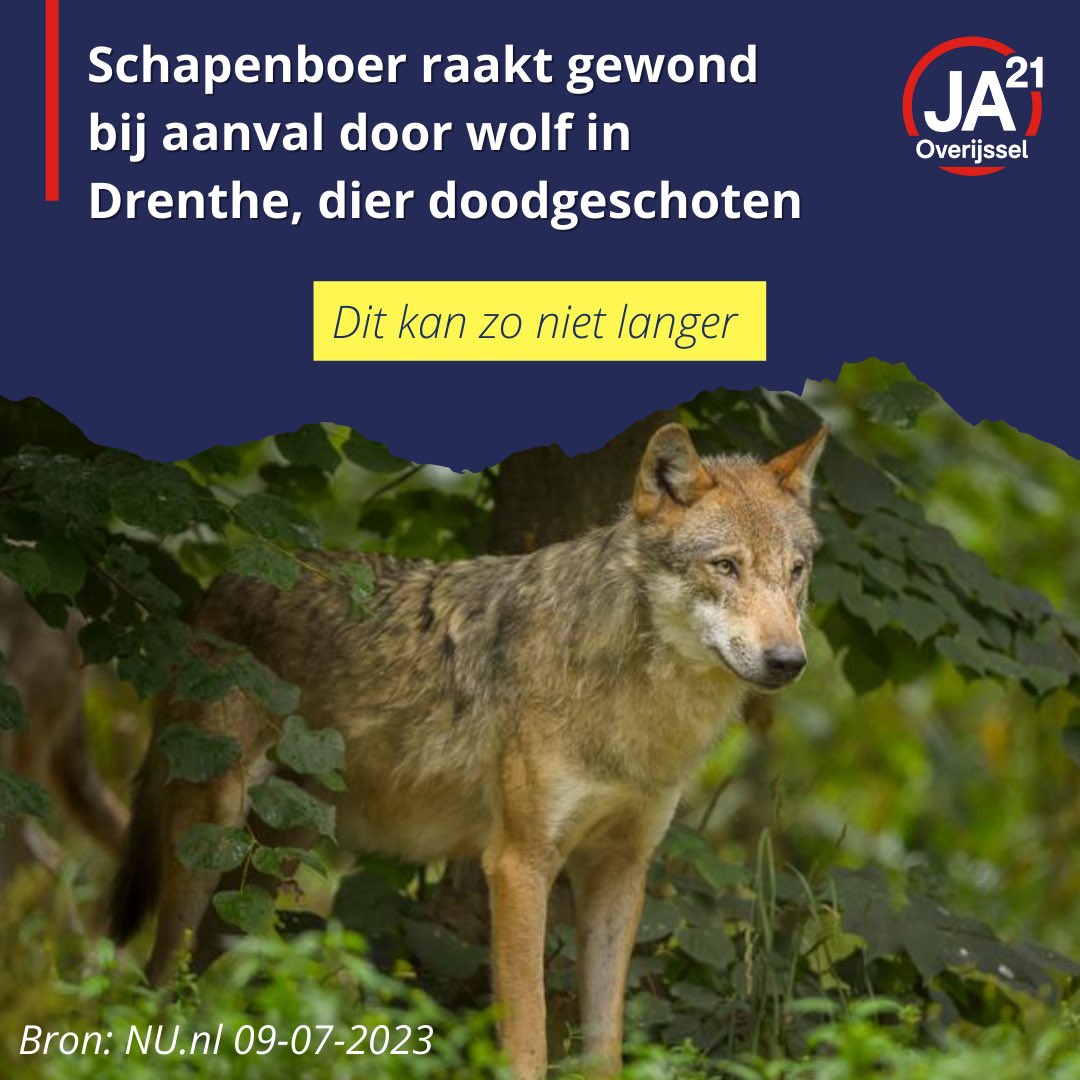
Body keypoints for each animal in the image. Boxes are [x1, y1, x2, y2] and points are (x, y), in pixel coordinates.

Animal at [111, 422, 827, 1078]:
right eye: (725, 566)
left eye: (795, 572)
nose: (789, 662)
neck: (634, 702)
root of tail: (226, 580)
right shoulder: (518, 864)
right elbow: (530, 1040)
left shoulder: (620, 868)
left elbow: (605, 1044)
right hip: (213, 835)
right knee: (157, 976)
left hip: (274, 858)